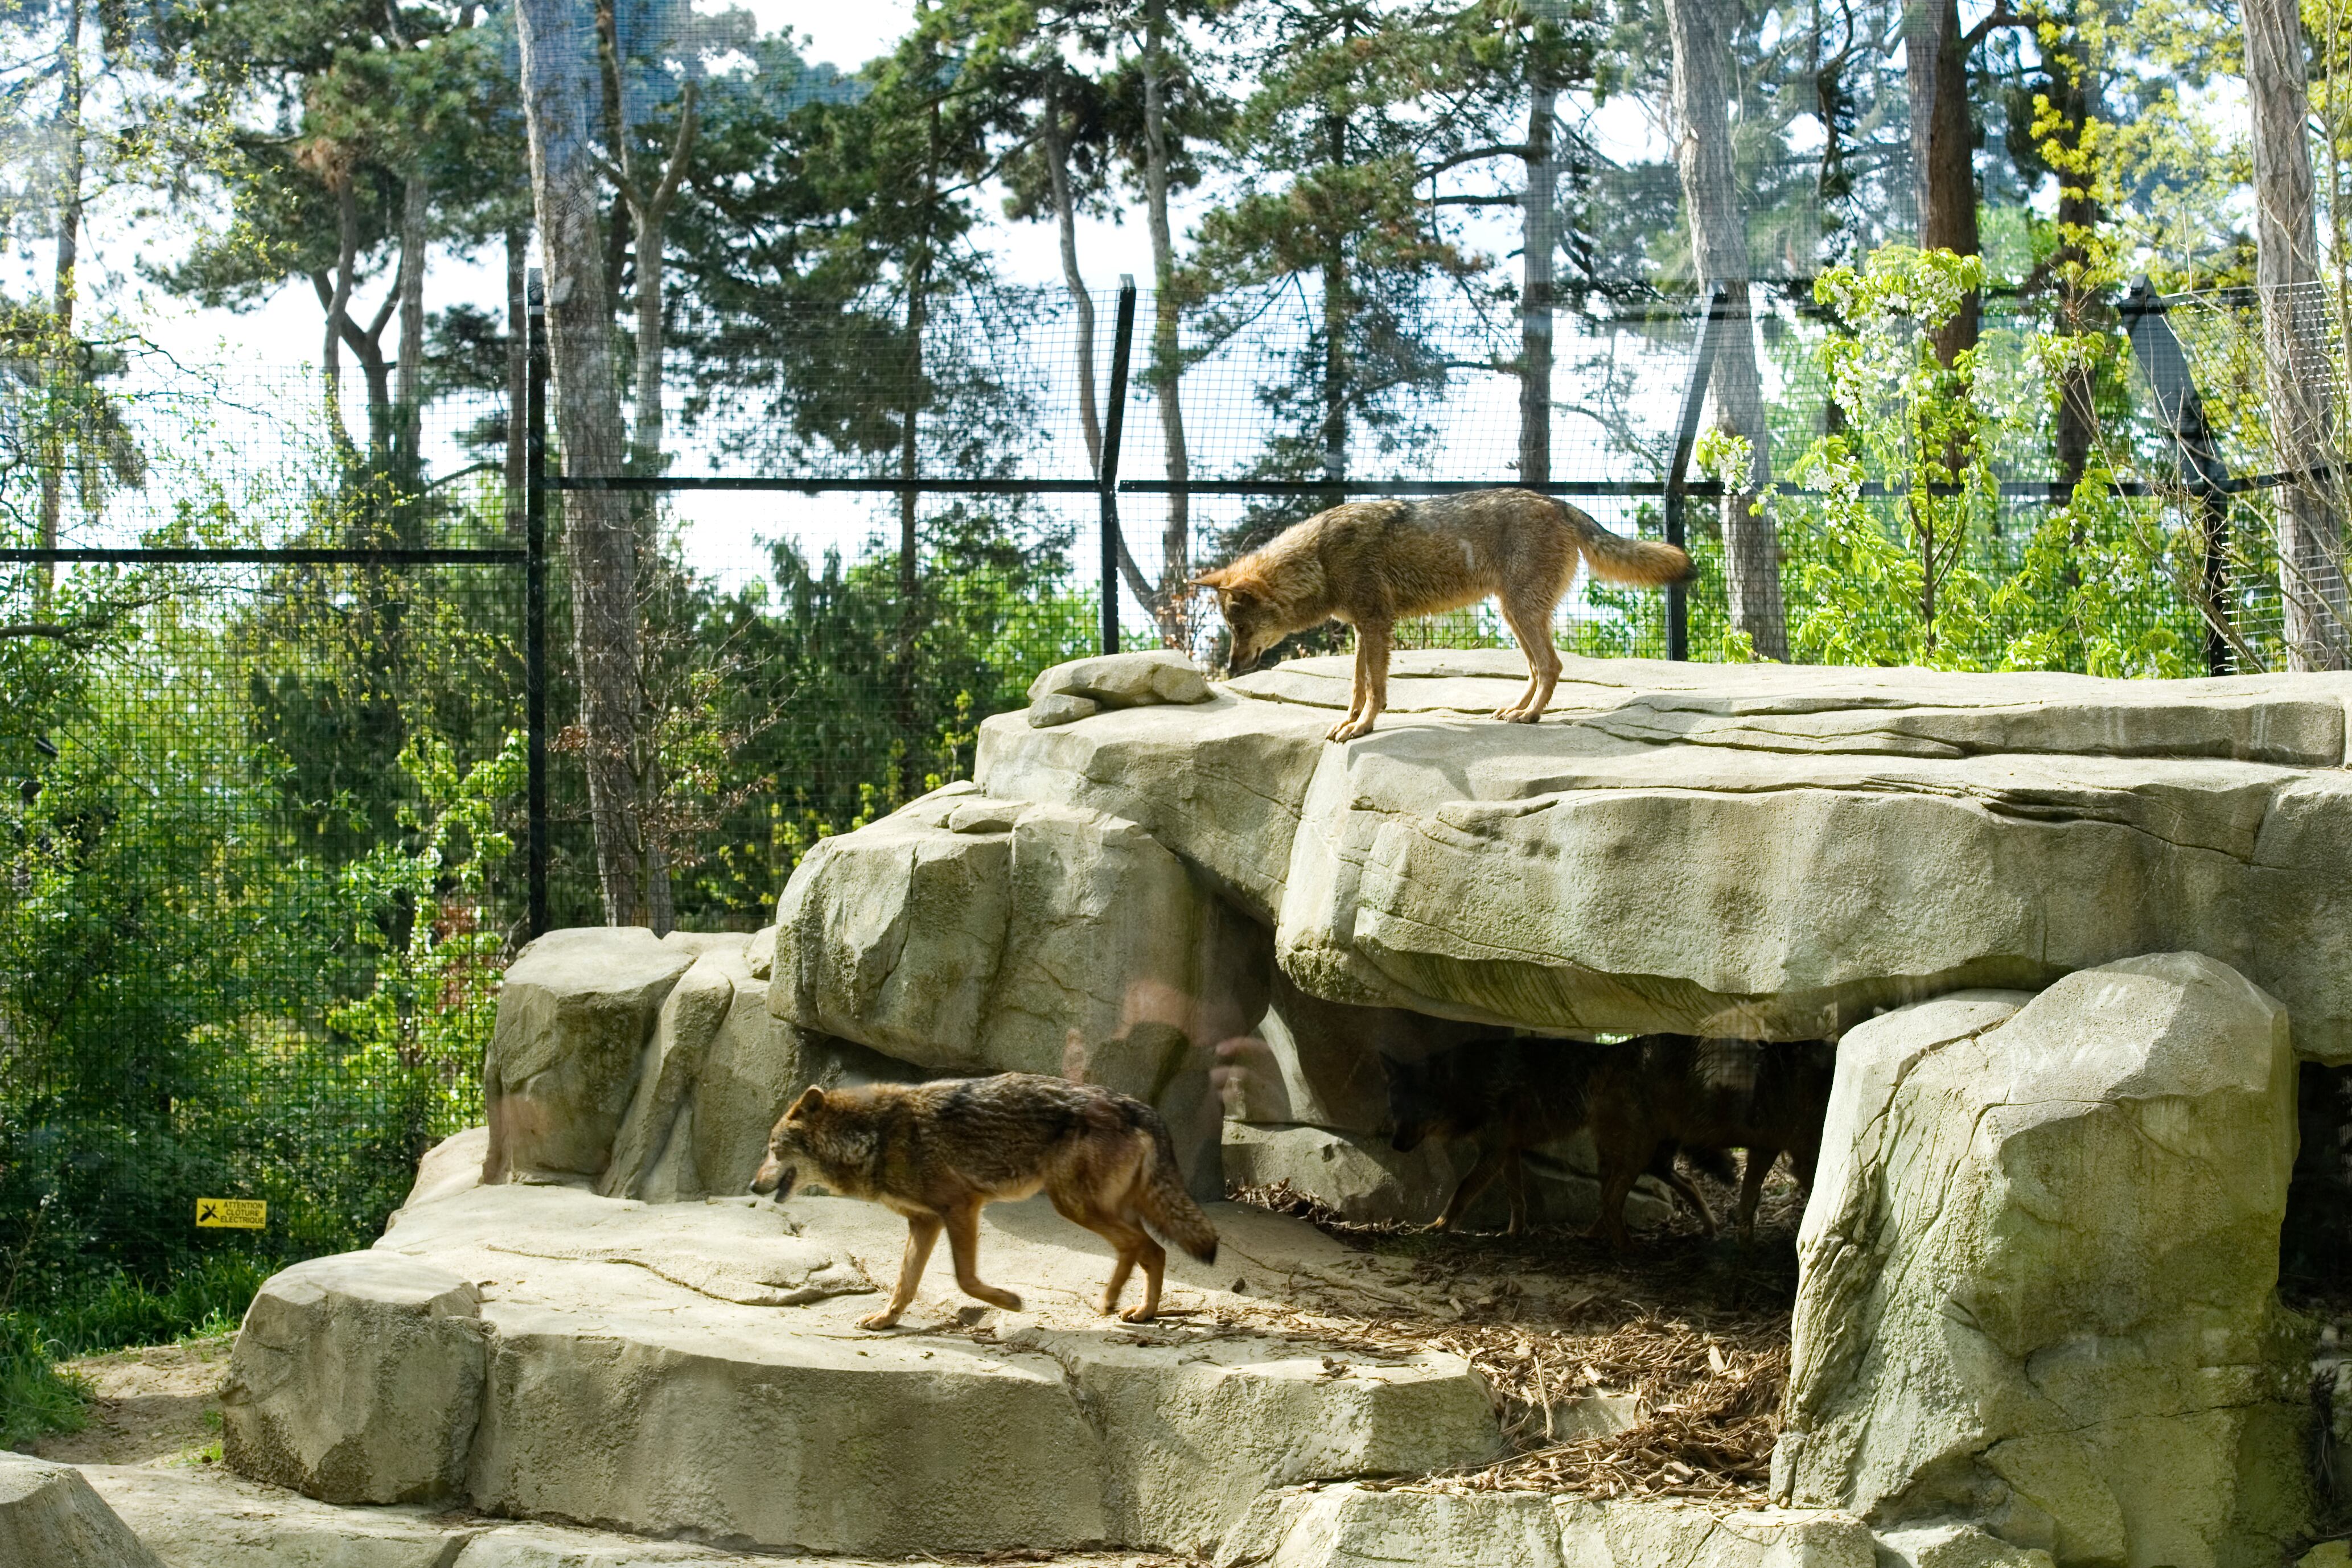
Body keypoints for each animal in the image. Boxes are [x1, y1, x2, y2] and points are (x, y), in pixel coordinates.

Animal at [753, 1072, 1223, 1335]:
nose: (754, 1186)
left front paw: (1010, 1302)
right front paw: (886, 1320)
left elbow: (964, 1279)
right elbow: (905, 1284)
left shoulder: (961, 1206)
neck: (873, 1136)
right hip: (1100, 1207)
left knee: (1139, 1246)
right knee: (1152, 1250)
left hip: (1074, 1206)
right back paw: (1141, 1311)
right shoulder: (925, 1222)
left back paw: (1114, 1303)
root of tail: (1141, 1107)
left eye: (774, 1149)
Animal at [1195, 487, 1693, 738]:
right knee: (1538, 669)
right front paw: (1349, 721)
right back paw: (1515, 711)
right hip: (1514, 614)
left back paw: (1529, 718)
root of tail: (1558, 502)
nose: (1230, 668)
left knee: (1551, 666)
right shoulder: (1362, 628)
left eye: (1239, 627)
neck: (1319, 558)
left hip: (1520, 611)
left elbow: (1374, 689)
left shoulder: (1376, 624)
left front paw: (1364, 727)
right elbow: (1357, 686)